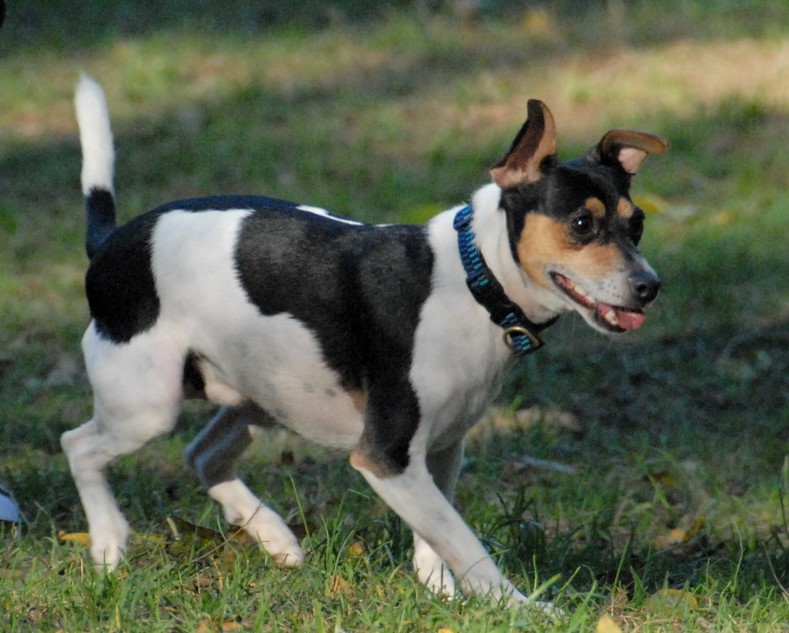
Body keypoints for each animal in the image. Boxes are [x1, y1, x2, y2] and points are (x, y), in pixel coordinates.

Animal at [63, 76, 664, 604]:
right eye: (582, 225)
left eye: (636, 225)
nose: (649, 287)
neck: (474, 280)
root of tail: (109, 244)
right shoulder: (387, 457)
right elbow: (466, 545)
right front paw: (517, 607)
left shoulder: (439, 449)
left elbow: (438, 535)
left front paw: (440, 593)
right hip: (148, 405)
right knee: (79, 445)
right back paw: (110, 544)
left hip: (262, 395)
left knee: (203, 454)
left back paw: (275, 538)